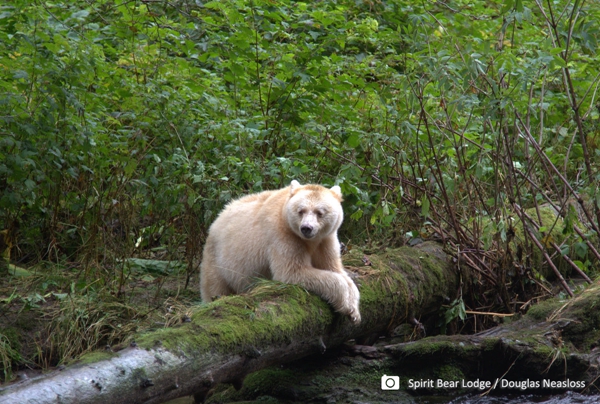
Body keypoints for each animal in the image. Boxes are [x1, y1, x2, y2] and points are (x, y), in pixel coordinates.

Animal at [200, 181, 360, 324]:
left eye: (319, 212)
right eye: (301, 211)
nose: (306, 228)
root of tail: (216, 219)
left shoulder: (325, 241)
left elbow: (335, 269)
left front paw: (354, 311)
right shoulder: (283, 235)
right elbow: (292, 271)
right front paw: (346, 304)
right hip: (218, 260)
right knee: (215, 286)